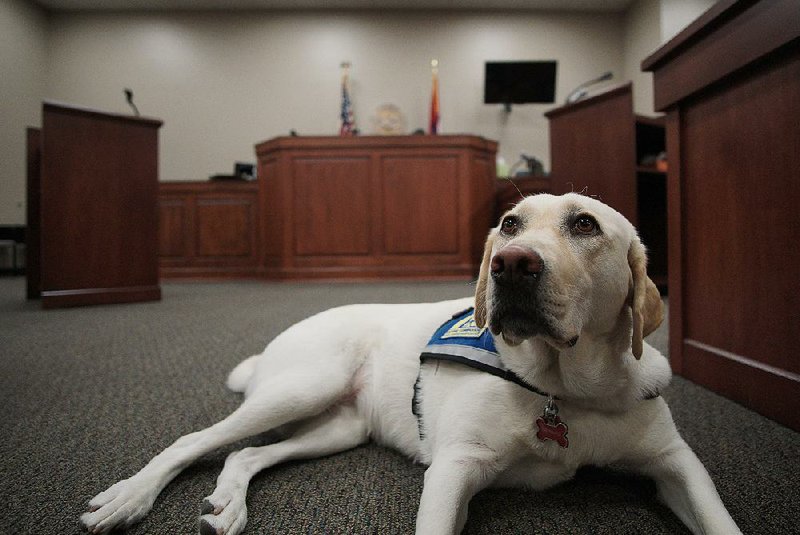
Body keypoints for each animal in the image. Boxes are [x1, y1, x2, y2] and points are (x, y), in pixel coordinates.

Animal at [79, 194, 736, 535]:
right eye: (509, 224)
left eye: (585, 224)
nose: (512, 264)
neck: (562, 390)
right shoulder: (455, 468)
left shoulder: (675, 463)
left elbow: (717, 517)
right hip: (304, 386)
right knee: (192, 441)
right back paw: (128, 499)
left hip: (340, 427)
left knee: (244, 455)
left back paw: (229, 502)